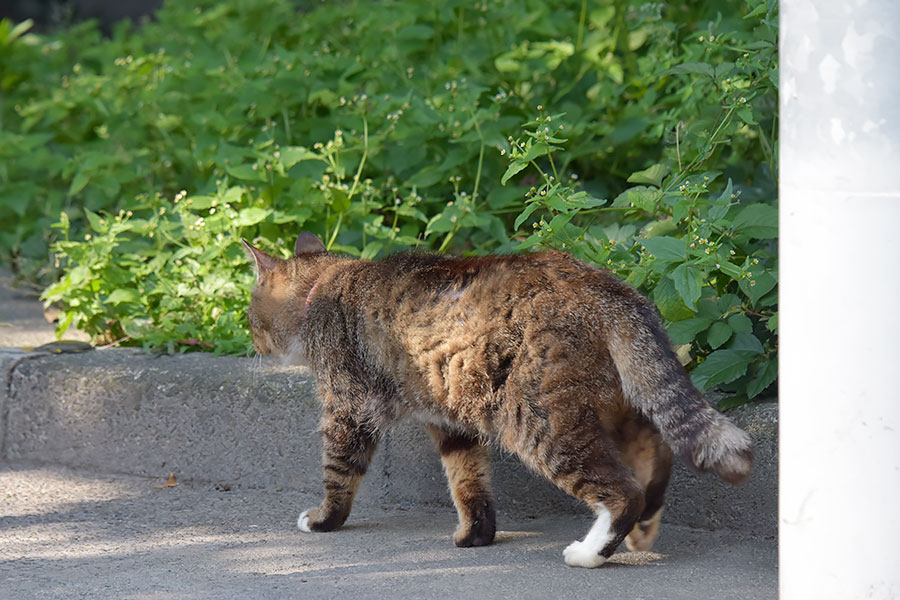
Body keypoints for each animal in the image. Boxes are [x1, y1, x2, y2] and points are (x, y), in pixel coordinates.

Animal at [241, 234, 752, 568]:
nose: (253, 342)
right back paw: (644, 531)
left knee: (623, 490)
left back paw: (590, 553)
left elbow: (338, 473)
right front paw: (476, 535)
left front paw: (323, 520)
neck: (323, 285)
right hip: (616, 404)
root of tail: (605, 287)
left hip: (540, 422)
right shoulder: (450, 420)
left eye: (248, 316)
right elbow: (469, 482)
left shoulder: (348, 408)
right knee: (657, 454)